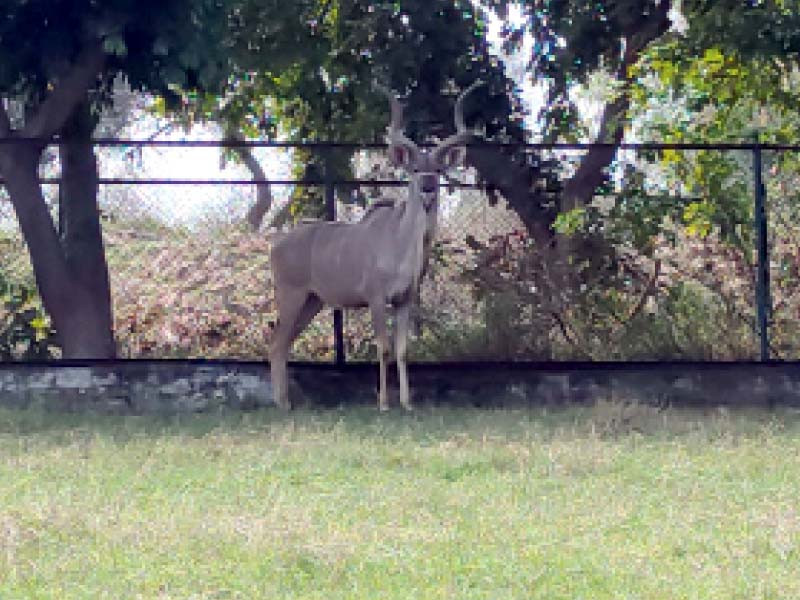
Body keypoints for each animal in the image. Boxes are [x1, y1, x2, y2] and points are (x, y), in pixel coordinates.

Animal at [268, 82, 482, 410]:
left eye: (437, 169)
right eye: (414, 169)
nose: (428, 188)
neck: (401, 244)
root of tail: (276, 245)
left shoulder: (404, 301)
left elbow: (403, 350)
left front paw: (407, 404)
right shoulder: (376, 299)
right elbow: (383, 347)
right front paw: (383, 404)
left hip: (312, 302)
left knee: (283, 344)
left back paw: (286, 402)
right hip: (291, 295)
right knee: (277, 343)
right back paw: (283, 404)